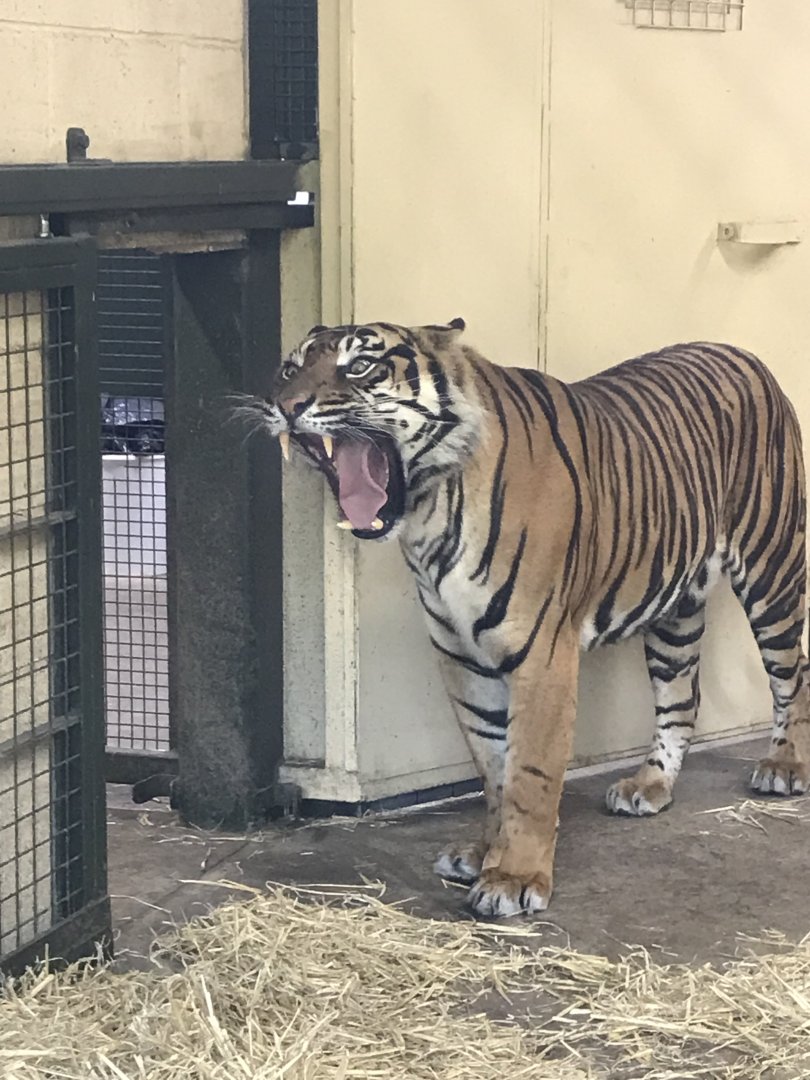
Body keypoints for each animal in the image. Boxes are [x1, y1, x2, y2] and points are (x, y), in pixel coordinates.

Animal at [254, 318, 809, 918]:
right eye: (289, 368)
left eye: (359, 366)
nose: (285, 406)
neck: (430, 507)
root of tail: (740, 352)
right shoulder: (461, 657)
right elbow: (493, 766)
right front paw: (485, 853)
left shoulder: (542, 652)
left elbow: (530, 771)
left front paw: (514, 877)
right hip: (675, 609)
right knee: (681, 701)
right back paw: (648, 786)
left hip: (773, 571)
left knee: (792, 675)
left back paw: (784, 767)